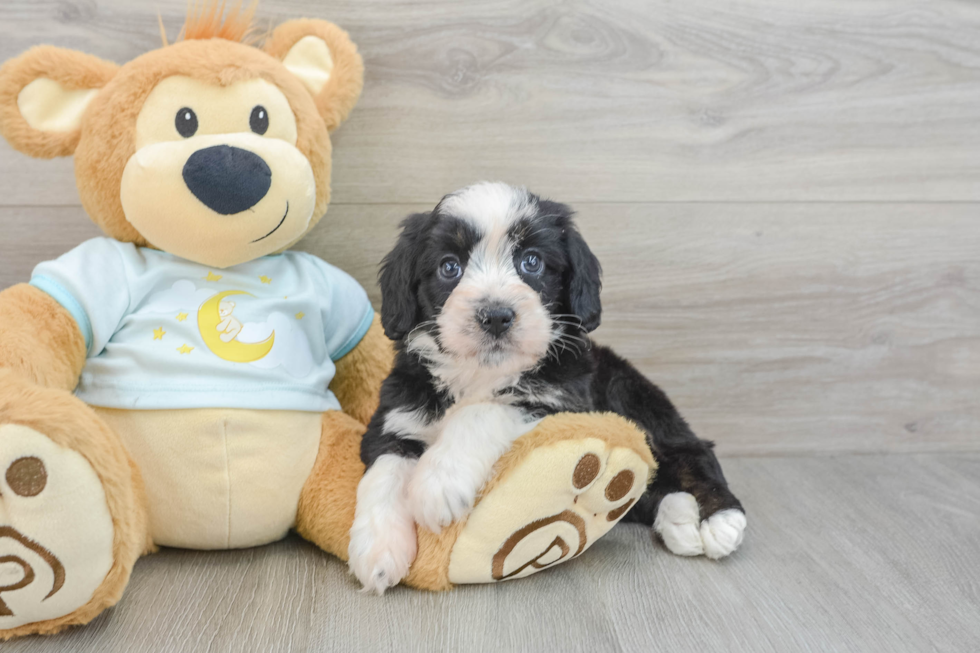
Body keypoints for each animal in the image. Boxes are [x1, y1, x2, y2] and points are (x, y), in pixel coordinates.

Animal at [348, 182, 748, 592]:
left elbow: (483, 411)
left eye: (532, 262)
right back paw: (678, 517)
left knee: (692, 452)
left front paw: (438, 483)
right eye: (449, 266)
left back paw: (720, 520)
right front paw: (378, 552)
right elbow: (384, 471)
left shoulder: (560, 401)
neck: (480, 373)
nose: (496, 316)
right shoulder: (398, 415)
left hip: (630, 392)